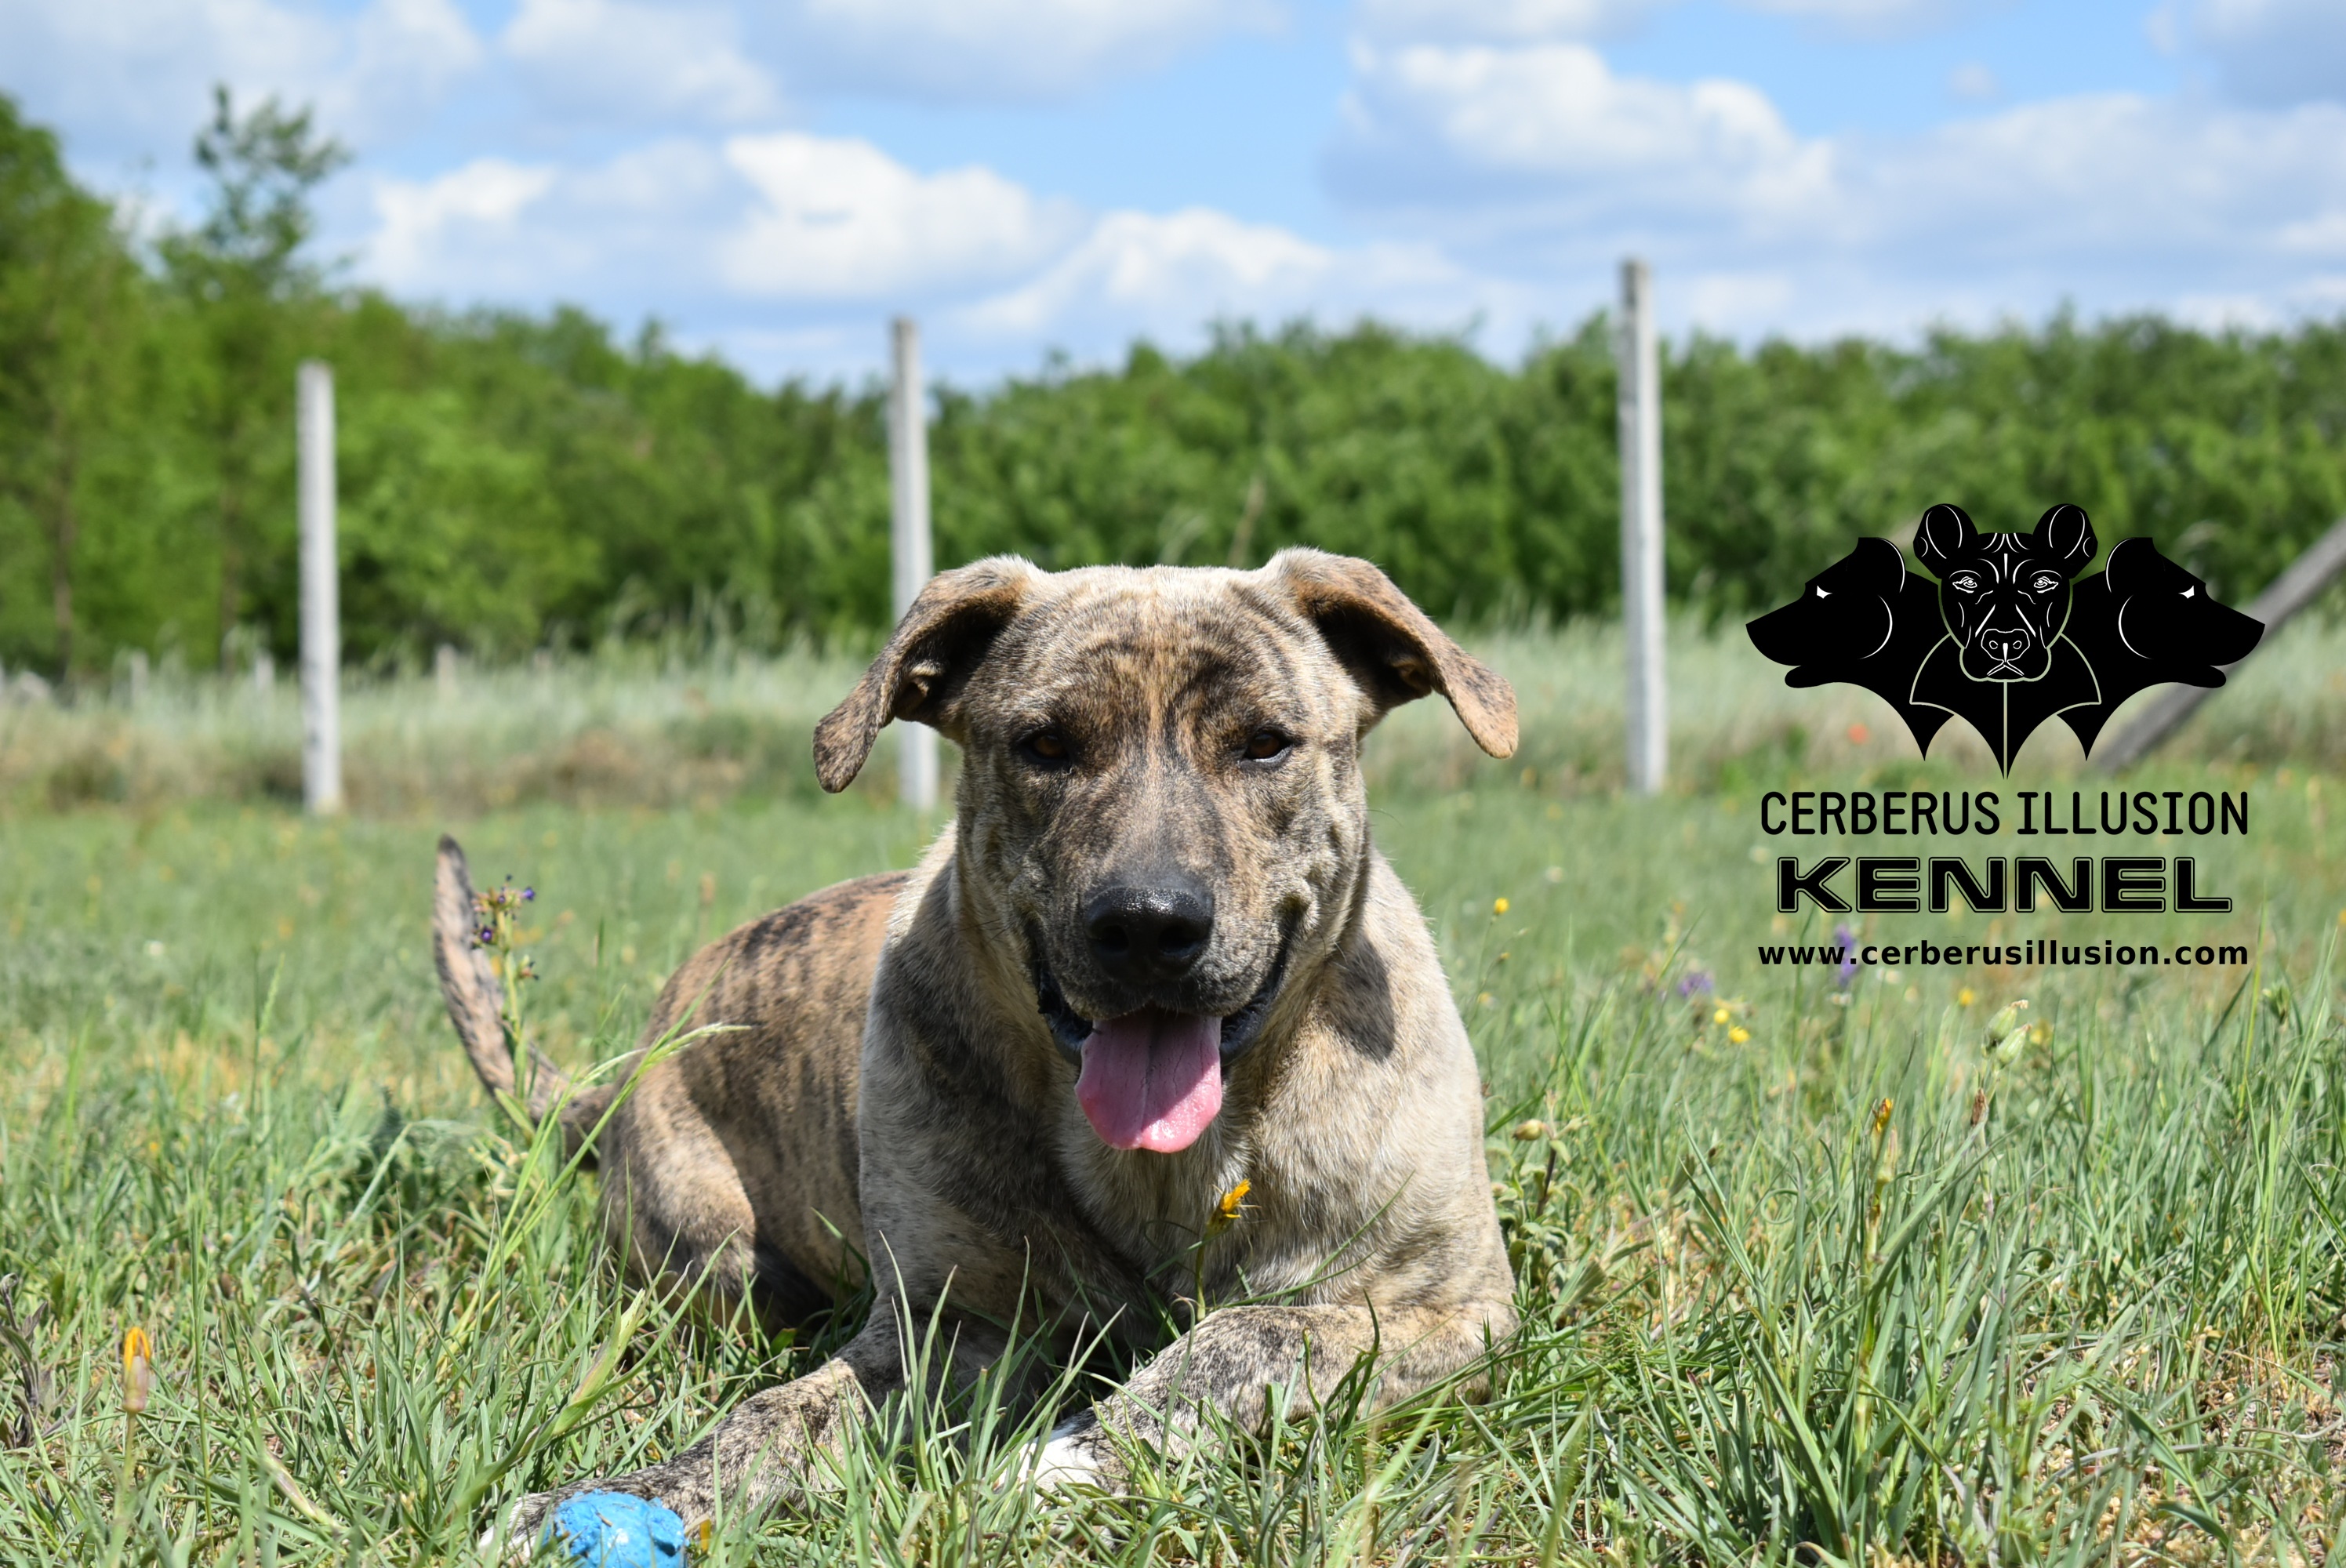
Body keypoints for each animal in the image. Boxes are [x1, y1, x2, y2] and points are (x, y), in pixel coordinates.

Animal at [438, 549, 1520, 1540]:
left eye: (1264, 744)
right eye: (1043, 743)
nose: (1147, 923)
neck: (1160, 1168)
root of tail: (641, 1049)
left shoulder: (1453, 1309)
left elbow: (1253, 1332)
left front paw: (1078, 1454)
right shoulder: (941, 1330)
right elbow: (777, 1412)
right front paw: (630, 1492)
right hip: (719, 1252)